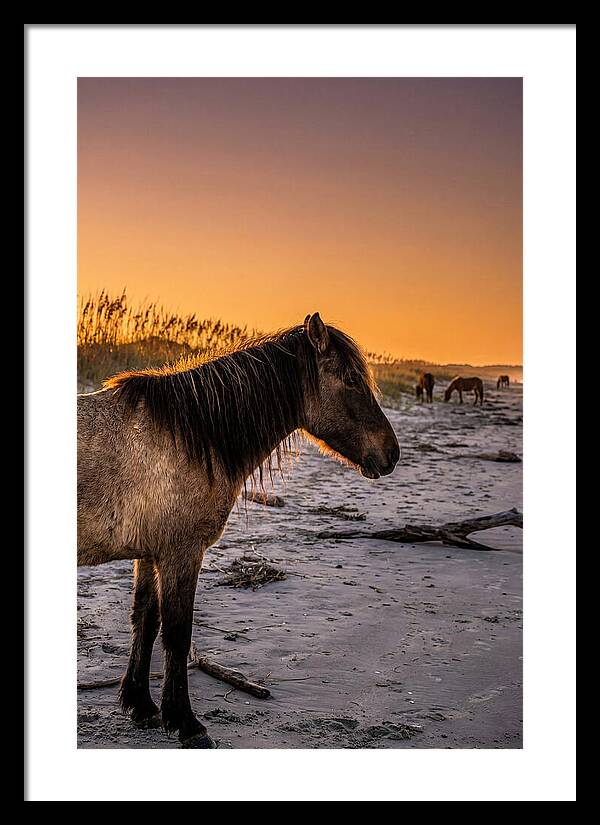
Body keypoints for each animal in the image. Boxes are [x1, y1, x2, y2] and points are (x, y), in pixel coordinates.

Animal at [77, 312, 400, 748]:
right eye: (351, 379)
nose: (391, 454)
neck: (191, 435)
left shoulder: (150, 553)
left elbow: (145, 619)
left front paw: (141, 705)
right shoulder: (182, 553)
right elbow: (177, 632)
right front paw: (186, 723)